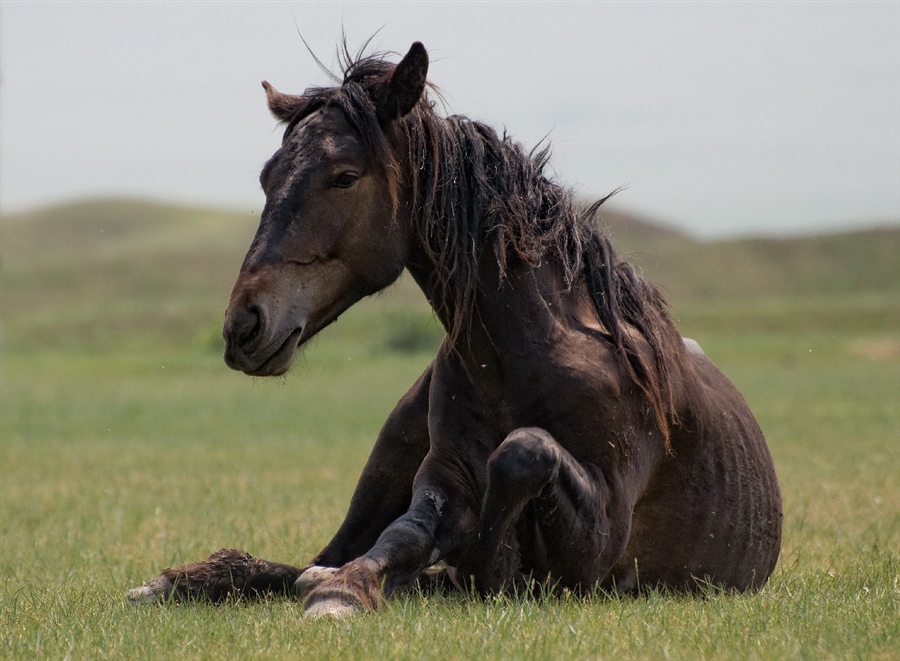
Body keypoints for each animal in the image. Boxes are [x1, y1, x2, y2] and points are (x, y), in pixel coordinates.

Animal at [126, 43, 780, 616]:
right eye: (267, 178)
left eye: (344, 176)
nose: (244, 326)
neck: (526, 356)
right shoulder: (441, 481)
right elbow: (405, 537)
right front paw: (347, 591)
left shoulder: (596, 546)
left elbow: (521, 453)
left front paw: (476, 566)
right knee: (321, 556)